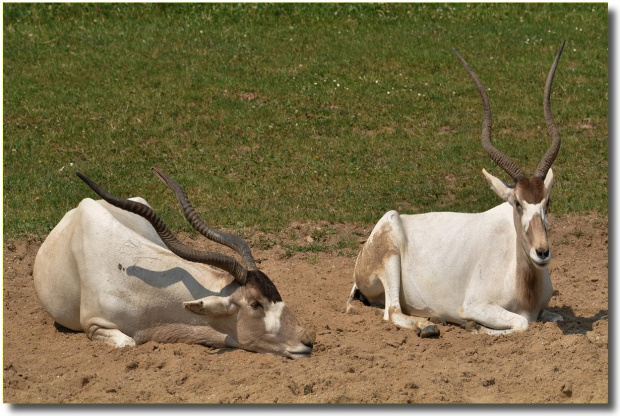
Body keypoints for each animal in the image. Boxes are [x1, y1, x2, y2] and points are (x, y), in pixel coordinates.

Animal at [348, 40, 568, 336]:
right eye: (517, 203)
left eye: (547, 202)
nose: (542, 253)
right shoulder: (475, 305)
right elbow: (521, 323)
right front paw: (473, 326)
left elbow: (557, 317)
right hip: (389, 254)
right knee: (392, 312)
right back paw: (429, 324)